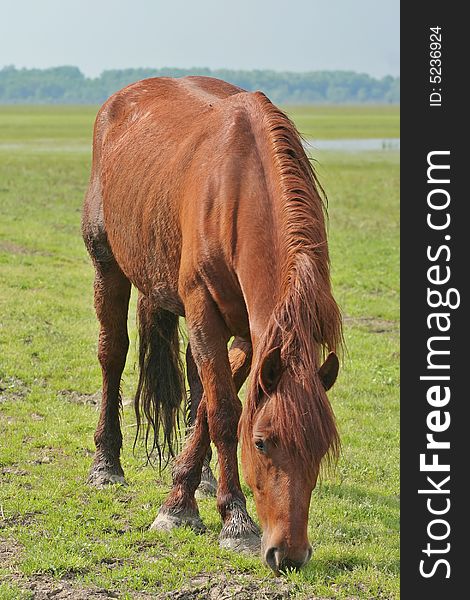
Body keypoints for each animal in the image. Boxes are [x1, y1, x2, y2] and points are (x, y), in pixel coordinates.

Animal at [82, 76, 342, 576]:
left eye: (321, 451)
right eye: (262, 443)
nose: (290, 555)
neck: (238, 192)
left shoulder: (251, 332)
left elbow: (213, 404)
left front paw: (184, 493)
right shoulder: (205, 310)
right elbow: (224, 412)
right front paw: (233, 522)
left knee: (196, 377)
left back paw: (201, 477)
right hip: (107, 264)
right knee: (112, 354)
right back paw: (106, 464)